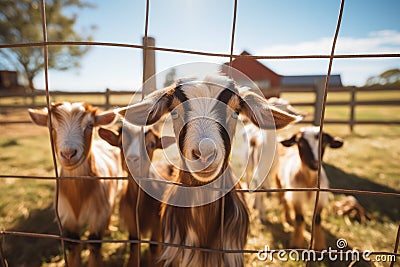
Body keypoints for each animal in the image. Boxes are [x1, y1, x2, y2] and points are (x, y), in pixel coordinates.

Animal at [28, 102, 122, 267]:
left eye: (90, 125)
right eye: (50, 125)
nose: (68, 154)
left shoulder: (98, 214)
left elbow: (94, 244)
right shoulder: (67, 217)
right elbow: (74, 244)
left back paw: (109, 228)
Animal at [97, 124, 174, 266]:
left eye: (151, 144)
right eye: (121, 143)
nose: (133, 158)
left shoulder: (157, 224)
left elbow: (154, 247)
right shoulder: (132, 222)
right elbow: (133, 245)